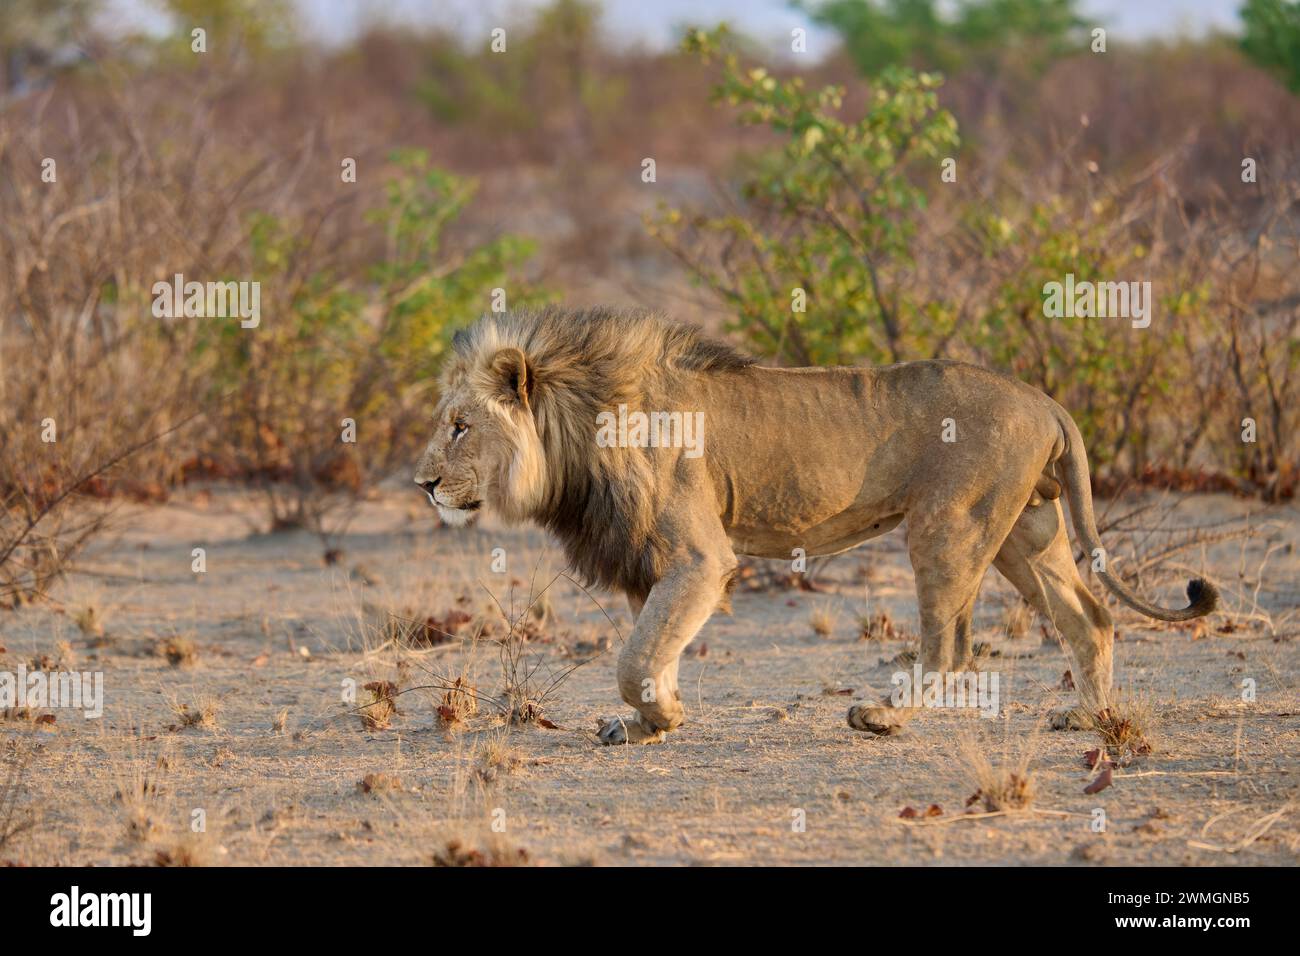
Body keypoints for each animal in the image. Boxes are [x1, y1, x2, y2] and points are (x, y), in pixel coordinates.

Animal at [413, 310, 1216, 743]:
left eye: (460, 427)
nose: (423, 485)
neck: (578, 429)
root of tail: (1046, 399)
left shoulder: (700, 557)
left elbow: (635, 660)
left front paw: (661, 716)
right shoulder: (650, 559)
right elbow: (651, 652)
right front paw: (647, 724)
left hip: (949, 527)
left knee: (951, 646)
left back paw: (882, 718)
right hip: (1028, 534)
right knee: (1091, 618)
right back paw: (1088, 719)